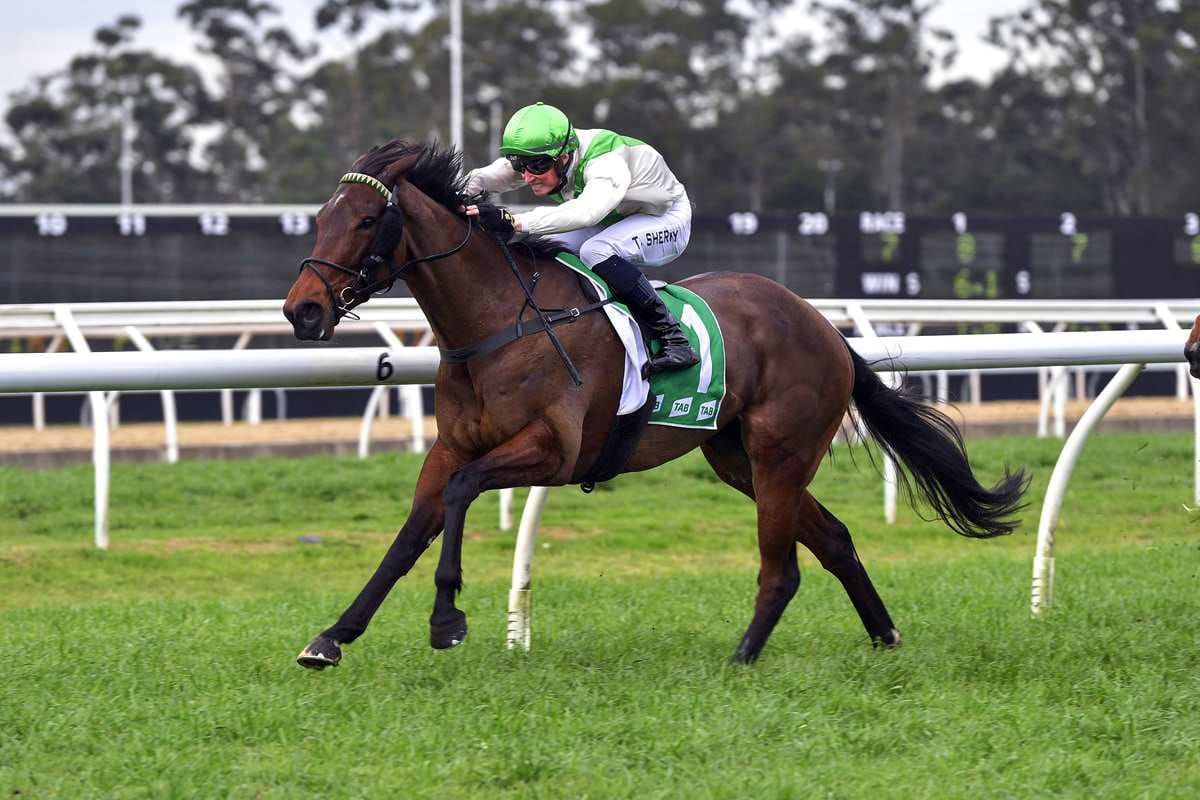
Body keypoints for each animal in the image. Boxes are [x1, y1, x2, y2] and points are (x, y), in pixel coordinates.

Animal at [282, 140, 1029, 668]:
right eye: (320, 219)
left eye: (368, 220)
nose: (302, 310)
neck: (500, 322)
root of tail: (825, 329)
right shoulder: (451, 445)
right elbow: (411, 532)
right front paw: (333, 636)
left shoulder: (552, 452)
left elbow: (463, 493)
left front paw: (447, 619)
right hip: (739, 459)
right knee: (835, 540)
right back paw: (883, 635)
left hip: (781, 452)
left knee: (782, 566)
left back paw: (742, 658)